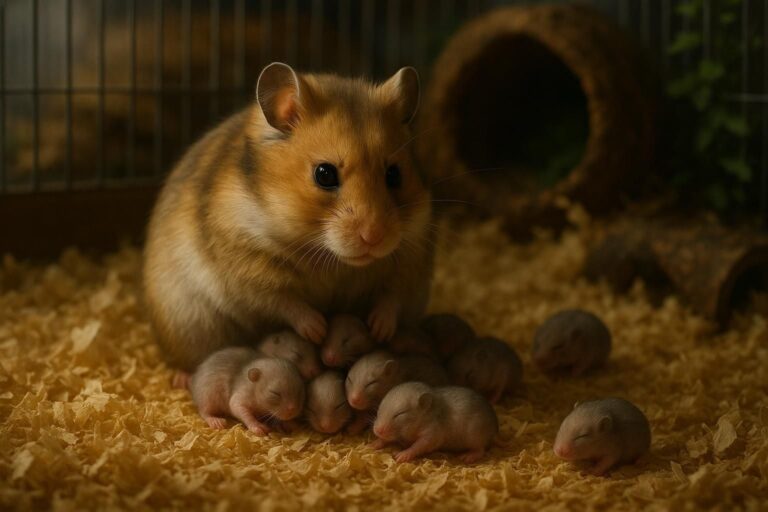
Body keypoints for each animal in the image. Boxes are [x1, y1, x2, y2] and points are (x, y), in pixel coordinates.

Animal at [143, 62, 434, 372]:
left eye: (394, 175)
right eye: (324, 174)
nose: (374, 237)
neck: (332, 258)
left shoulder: (413, 256)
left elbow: (392, 297)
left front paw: (380, 329)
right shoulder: (248, 268)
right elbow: (284, 302)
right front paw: (318, 329)